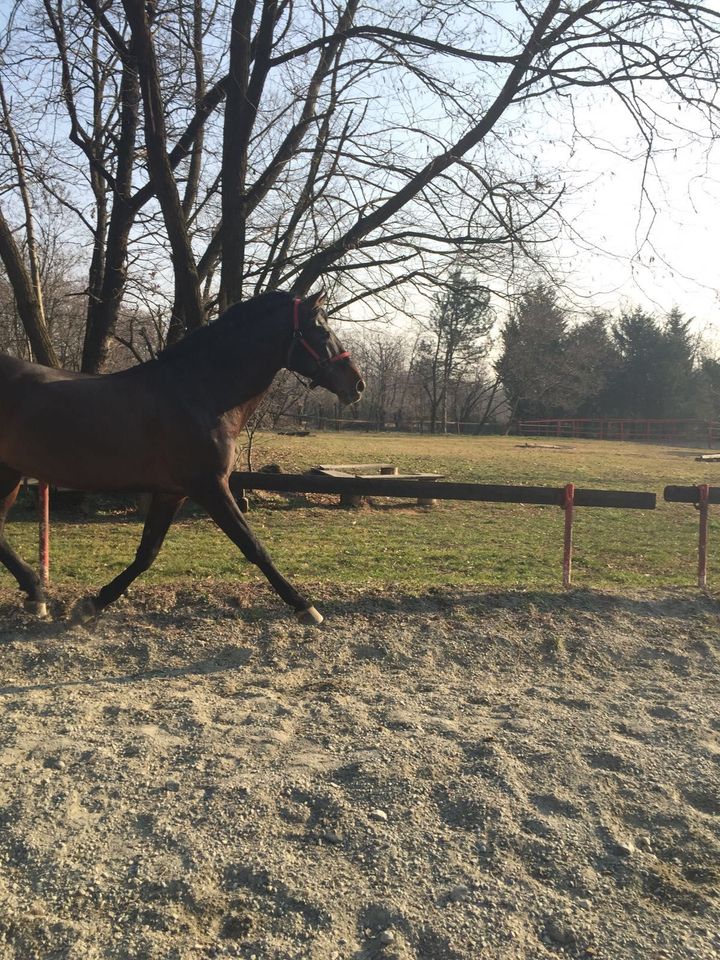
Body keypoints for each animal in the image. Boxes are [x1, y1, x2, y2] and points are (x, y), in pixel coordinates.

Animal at [0, 290, 364, 625]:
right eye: (321, 331)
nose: (357, 385)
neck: (199, 394)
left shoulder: (171, 492)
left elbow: (147, 554)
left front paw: (94, 603)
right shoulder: (210, 487)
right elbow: (253, 546)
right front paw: (305, 606)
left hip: (10, 474)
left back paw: (35, 594)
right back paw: (36, 591)